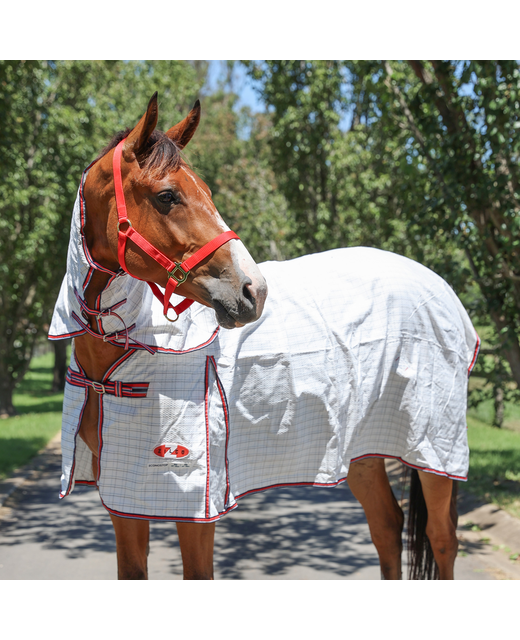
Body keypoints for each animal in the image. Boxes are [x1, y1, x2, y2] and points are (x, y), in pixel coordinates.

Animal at [49, 93, 479, 580]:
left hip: (433, 454)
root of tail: (437, 286)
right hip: (362, 449)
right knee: (387, 526)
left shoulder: (195, 509)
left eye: (207, 192)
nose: (252, 290)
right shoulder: (124, 502)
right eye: (166, 196)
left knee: (441, 539)